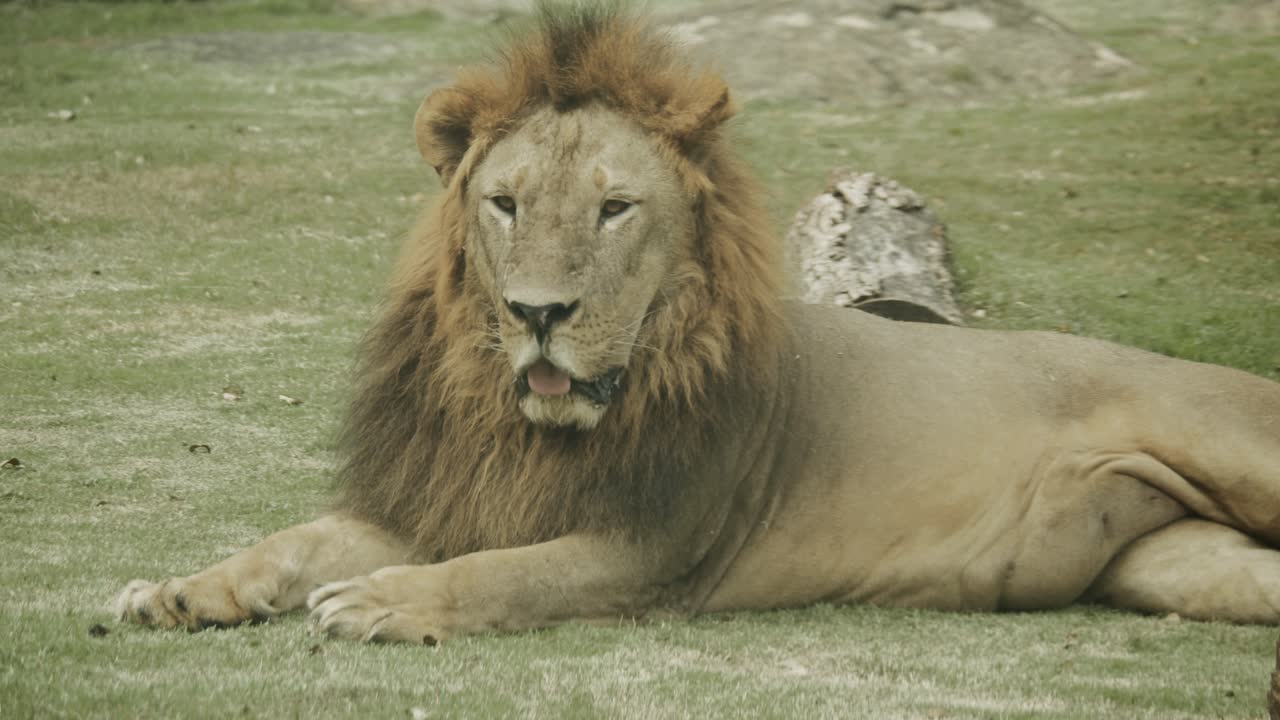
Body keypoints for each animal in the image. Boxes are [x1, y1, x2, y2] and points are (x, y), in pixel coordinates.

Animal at [116, 5, 1280, 643]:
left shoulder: (648, 548)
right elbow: (292, 541)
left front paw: (383, 601)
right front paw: (177, 591)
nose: (539, 314)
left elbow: (500, 575)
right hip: (1170, 562)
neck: (515, 424)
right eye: (506, 203)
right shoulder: (448, 494)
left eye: (614, 209)